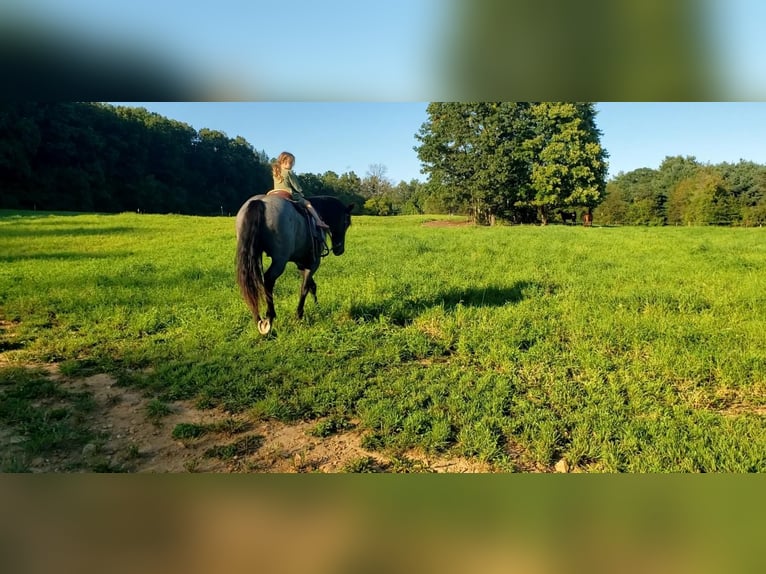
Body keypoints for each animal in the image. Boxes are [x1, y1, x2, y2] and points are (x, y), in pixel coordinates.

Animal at [237, 195, 354, 336]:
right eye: (346, 223)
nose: (339, 250)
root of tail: (260, 202)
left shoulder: (301, 263)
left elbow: (312, 286)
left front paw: (317, 307)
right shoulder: (313, 263)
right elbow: (305, 288)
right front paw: (299, 315)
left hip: (253, 255)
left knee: (251, 283)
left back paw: (257, 318)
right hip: (279, 261)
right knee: (268, 281)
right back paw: (269, 318)